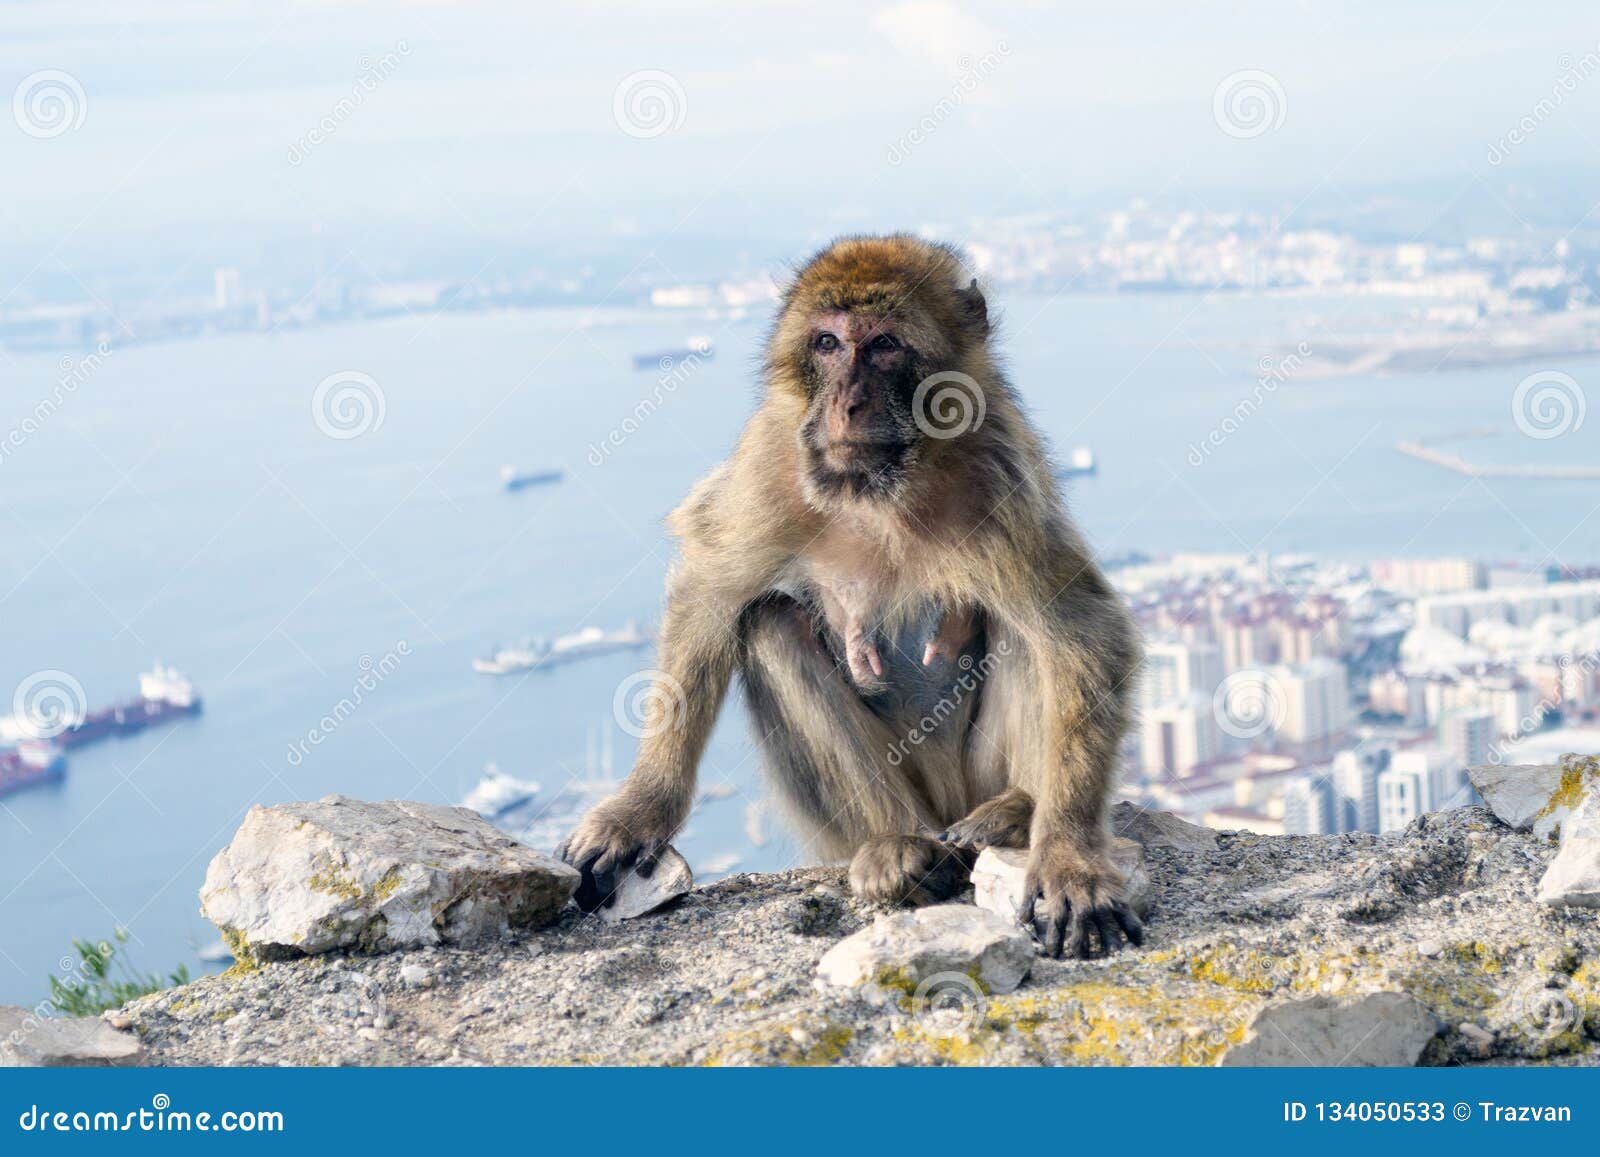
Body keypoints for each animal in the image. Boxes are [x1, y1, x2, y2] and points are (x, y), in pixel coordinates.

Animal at [556, 233, 1145, 960]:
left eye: (885, 343)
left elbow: (1080, 629)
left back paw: (1013, 812)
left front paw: (1070, 860)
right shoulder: (772, 461)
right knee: (771, 626)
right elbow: (712, 590)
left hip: (973, 777)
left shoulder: (998, 467)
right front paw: (639, 811)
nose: (846, 404)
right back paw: (900, 850)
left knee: (1029, 634)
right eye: (829, 343)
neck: (885, 484)